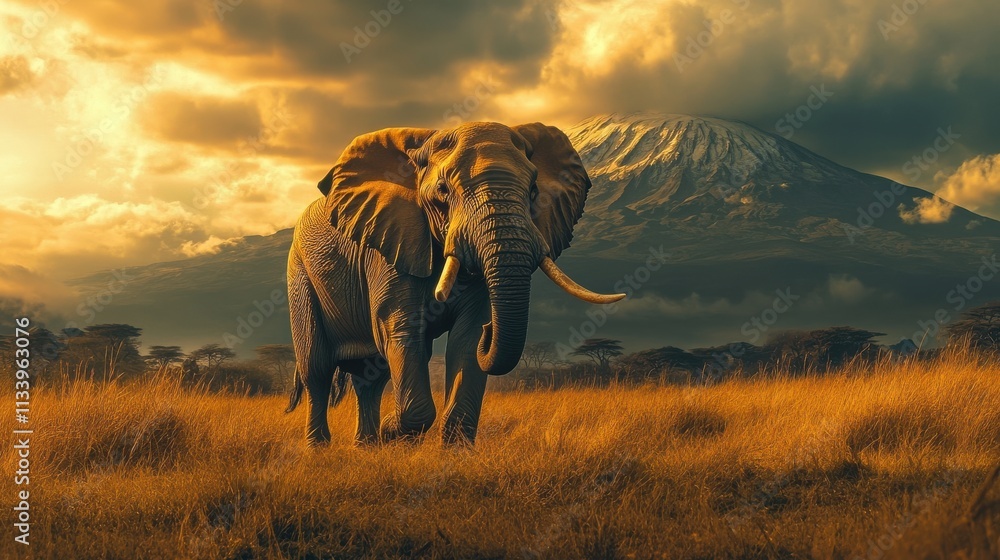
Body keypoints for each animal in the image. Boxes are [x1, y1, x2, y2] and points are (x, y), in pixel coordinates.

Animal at [285, 121, 623, 446]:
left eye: (533, 191)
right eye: (443, 191)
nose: (491, 329)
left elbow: (467, 337)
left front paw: (453, 452)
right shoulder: (389, 247)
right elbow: (402, 329)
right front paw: (392, 430)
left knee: (370, 376)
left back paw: (366, 446)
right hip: (299, 275)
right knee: (317, 369)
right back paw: (321, 448)